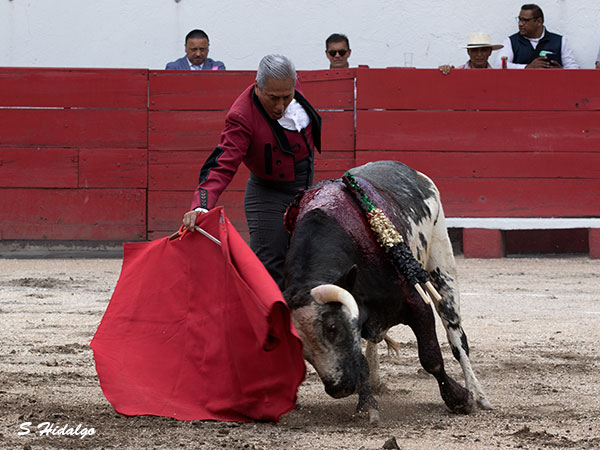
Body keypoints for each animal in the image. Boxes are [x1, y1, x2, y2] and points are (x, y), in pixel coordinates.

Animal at [283, 160, 492, 424]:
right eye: (298, 342)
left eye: (332, 328)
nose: (339, 388)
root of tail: (411, 171)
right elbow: (361, 363)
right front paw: (367, 405)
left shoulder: (417, 304)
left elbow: (431, 358)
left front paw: (459, 398)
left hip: (442, 267)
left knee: (456, 337)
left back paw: (478, 393)